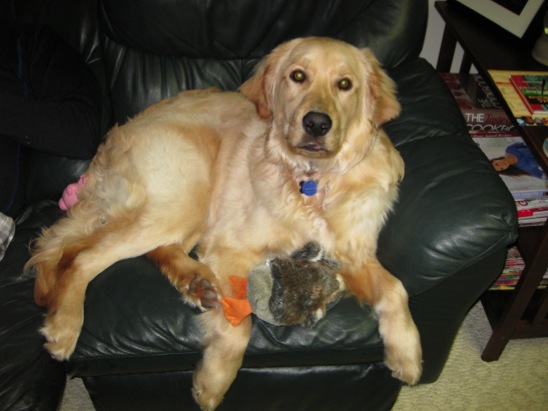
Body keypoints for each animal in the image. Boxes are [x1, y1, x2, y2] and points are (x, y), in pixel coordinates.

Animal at [27, 37, 424, 410]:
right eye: (298, 76)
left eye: (345, 84)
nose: (316, 123)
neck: (312, 181)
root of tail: (115, 136)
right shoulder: (231, 246)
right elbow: (240, 321)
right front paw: (213, 382)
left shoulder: (353, 253)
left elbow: (395, 287)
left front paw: (407, 352)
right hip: (189, 189)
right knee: (80, 255)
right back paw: (64, 325)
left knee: (147, 247)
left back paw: (196, 281)